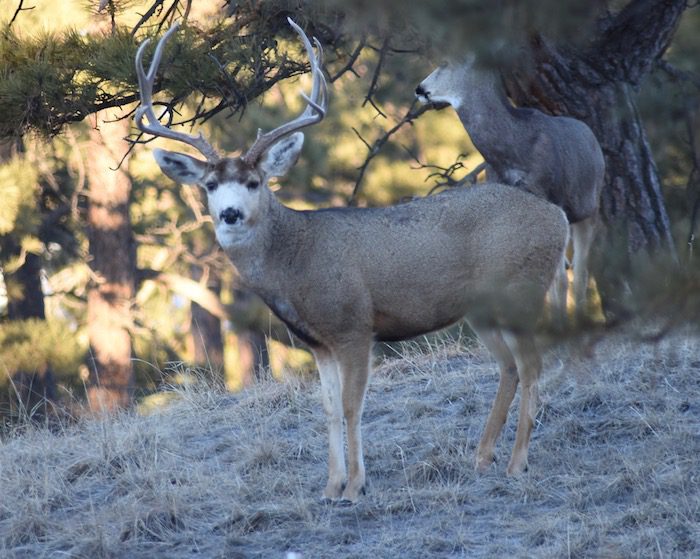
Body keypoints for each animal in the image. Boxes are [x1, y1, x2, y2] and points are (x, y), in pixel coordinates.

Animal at [135, 20, 568, 504]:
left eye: (253, 182)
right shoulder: (318, 341)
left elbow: (351, 405)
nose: (230, 214)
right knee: (509, 367)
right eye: (209, 185)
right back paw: (482, 457)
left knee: (532, 364)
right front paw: (330, 485)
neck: (297, 259)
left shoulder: (354, 325)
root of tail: (558, 217)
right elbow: (326, 409)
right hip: (483, 309)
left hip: (521, 289)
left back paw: (516, 462)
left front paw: (356, 485)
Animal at [416, 55, 608, 328]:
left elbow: (560, 279)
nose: (419, 89)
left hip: (589, 207)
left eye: (447, 62)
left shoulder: (551, 197)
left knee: (580, 273)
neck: (513, 151)